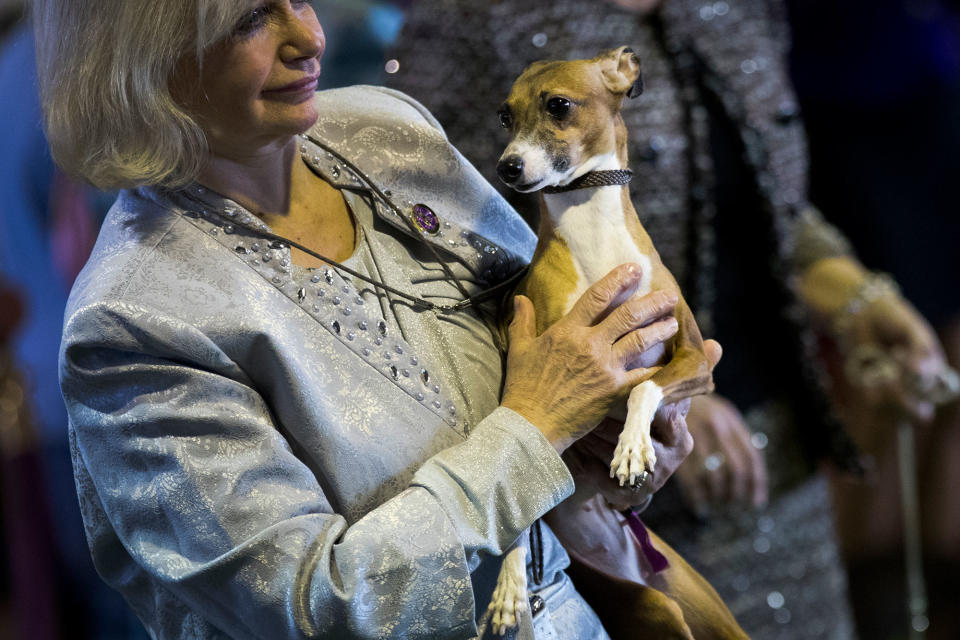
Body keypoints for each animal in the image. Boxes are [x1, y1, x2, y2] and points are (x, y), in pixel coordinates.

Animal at [488, 46, 712, 636]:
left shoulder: (695, 359)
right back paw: (510, 585)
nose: (507, 167)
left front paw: (631, 448)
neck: (595, 238)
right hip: (655, 609)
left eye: (559, 105)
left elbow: (644, 387)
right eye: (504, 116)